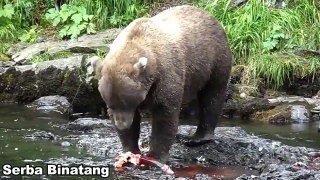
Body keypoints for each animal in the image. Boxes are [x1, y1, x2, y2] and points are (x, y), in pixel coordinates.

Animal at [97, 4, 232, 162]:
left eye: (126, 103)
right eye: (111, 105)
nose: (122, 125)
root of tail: (209, 15)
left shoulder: (165, 74)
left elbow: (164, 114)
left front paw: (155, 155)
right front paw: (130, 150)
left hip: (214, 58)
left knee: (212, 95)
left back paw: (198, 138)